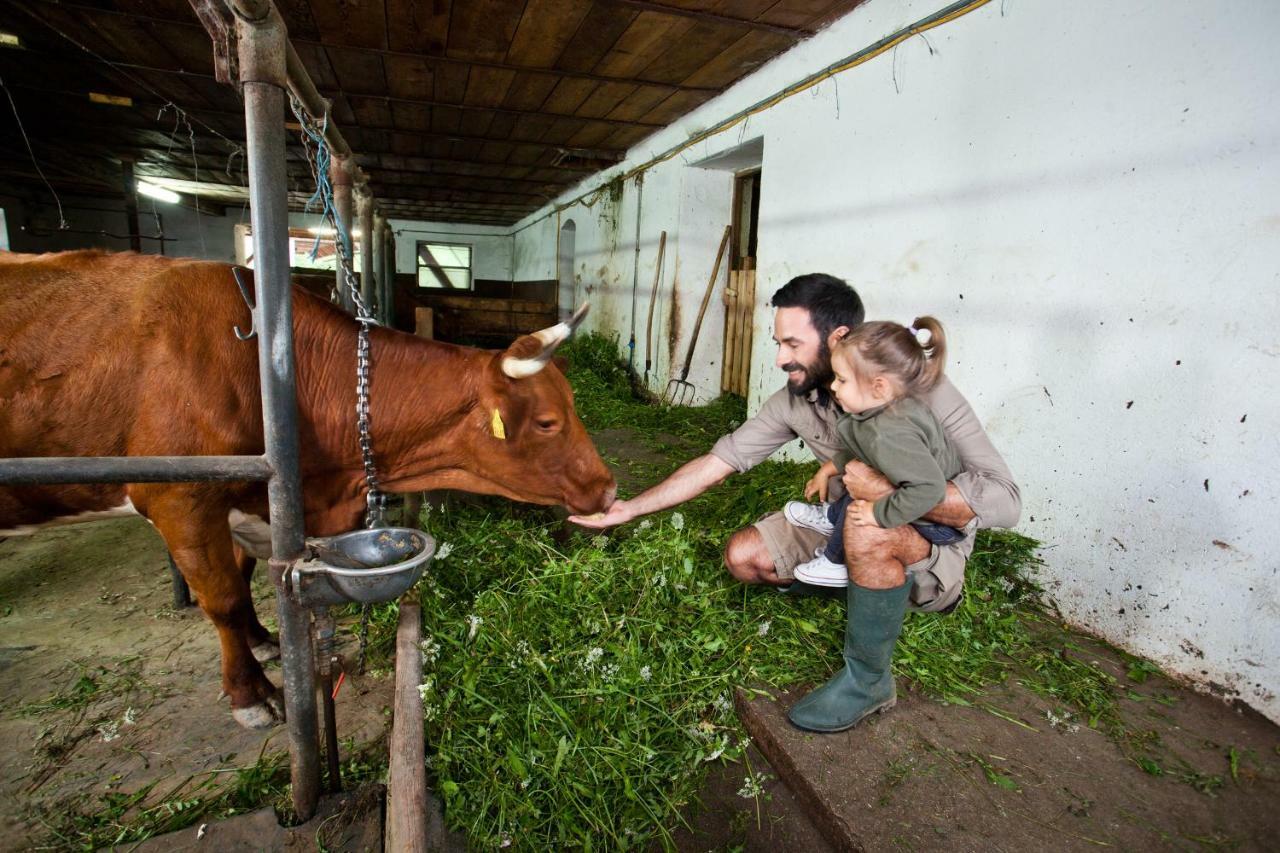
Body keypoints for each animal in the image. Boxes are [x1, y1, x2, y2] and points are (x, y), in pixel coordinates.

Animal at [0, 249, 616, 727]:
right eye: (547, 422)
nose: (609, 490)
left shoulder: (256, 499)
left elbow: (245, 573)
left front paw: (263, 637)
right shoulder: (182, 496)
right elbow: (223, 597)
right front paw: (252, 694)